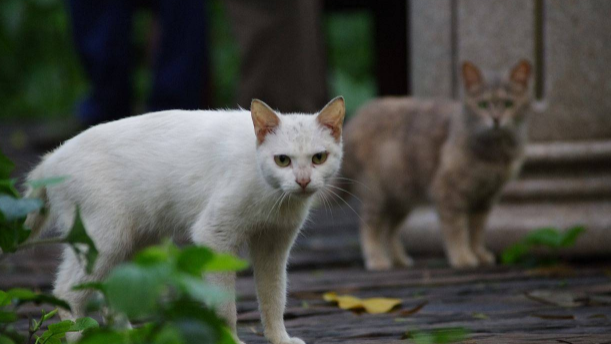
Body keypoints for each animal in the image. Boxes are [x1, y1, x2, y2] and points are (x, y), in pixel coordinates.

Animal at [23, 97, 346, 344]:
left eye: (318, 158)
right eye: (282, 160)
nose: (303, 181)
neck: (275, 196)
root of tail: (50, 160)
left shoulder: (274, 246)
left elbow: (274, 296)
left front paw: (280, 338)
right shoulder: (213, 235)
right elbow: (224, 306)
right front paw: (229, 340)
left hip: (134, 241)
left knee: (110, 292)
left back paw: (127, 336)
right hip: (104, 239)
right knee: (66, 292)